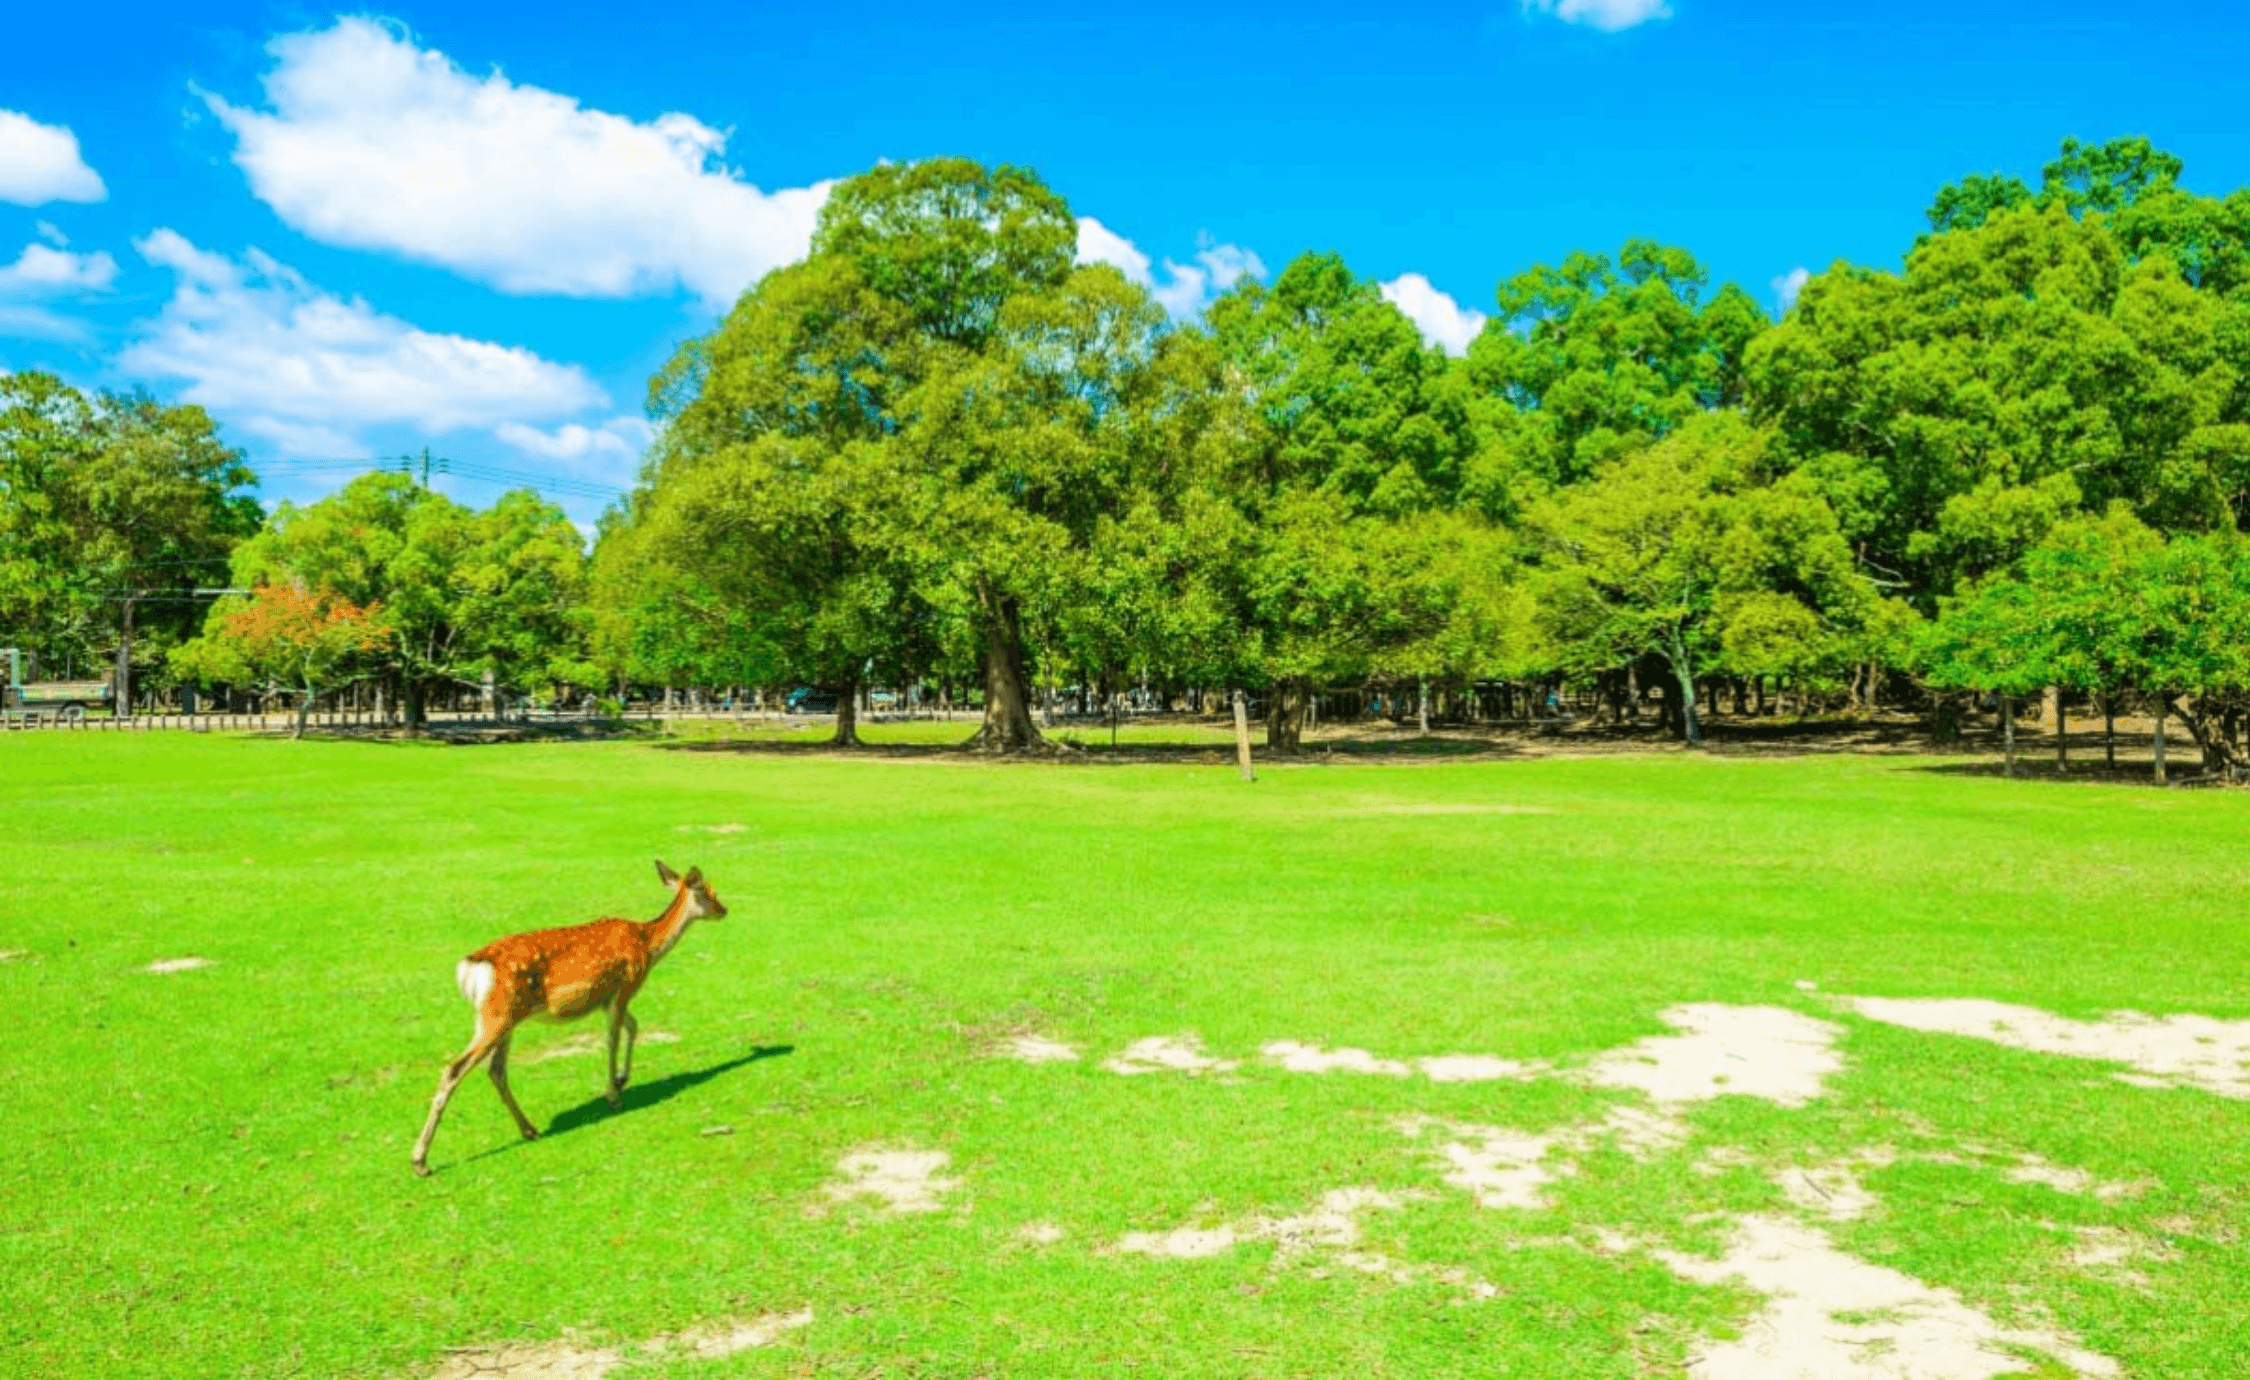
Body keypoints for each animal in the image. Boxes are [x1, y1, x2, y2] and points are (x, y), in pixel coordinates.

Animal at [405, 859, 720, 1170]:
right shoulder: (626, 986)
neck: (648, 947)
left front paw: (621, 1079)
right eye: (708, 890)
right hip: (497, 1015)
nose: (724, 909)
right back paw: (420, 1161)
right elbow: (614, 1038)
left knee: (496, 1070)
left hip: (503, 1020)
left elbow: (633, 1027)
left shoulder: (609, 999)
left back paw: (529, 1129)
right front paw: (614, 1095)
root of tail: (470, 968)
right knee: (454, 1068)